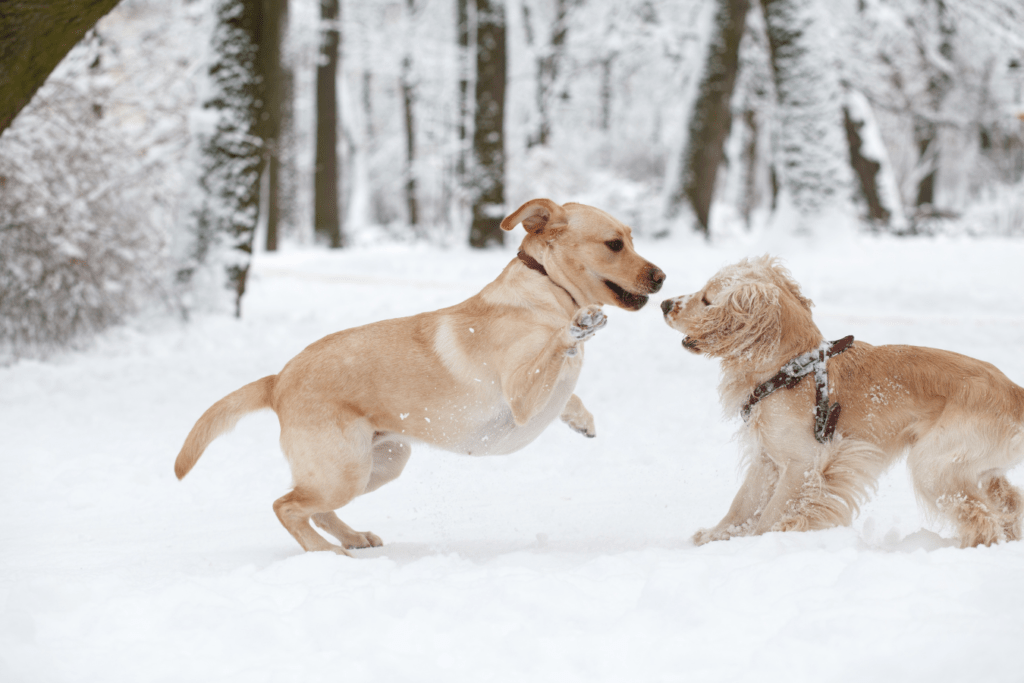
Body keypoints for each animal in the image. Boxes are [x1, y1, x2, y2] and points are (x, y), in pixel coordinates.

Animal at [174, 197, 663, 557]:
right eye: (614, 244)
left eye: (631, 239)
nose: (661, 277)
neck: (546, 290)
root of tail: (277, 379)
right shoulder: (522, 396)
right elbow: (557, 349)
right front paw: (577, 328)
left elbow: (570, 394)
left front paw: (582, 419)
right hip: (345, 470)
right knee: (286, 505)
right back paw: (325, 552)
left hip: (381, 464)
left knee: (313, 508)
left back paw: (352, 537)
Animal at [659, 255, 1019, 548]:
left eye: (706, 299)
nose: (664, 303)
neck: (790, 367)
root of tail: (1016, 394)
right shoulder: (767, 458)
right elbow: (742, 503)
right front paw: (716, 536)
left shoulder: (804, 462)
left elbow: (771, 515)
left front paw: (763, 543)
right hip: (977, 469)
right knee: (1010, 503)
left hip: (933, 464)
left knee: (983, 519)